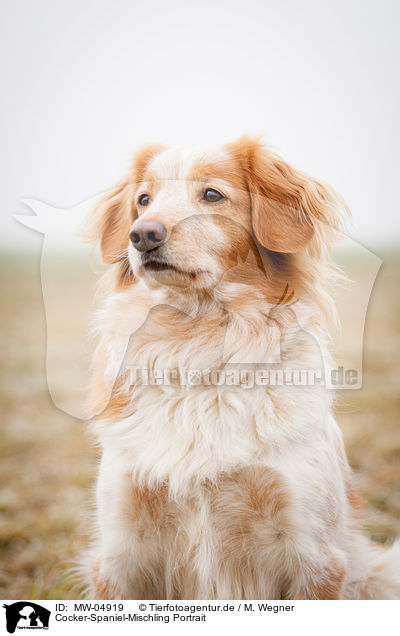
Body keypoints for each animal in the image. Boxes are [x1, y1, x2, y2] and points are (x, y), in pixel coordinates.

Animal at [82, 137, 400, 600]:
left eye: (213, 195)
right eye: (143, 200)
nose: (141, 235)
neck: (200, 345)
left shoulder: (316, 558)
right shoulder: (121, 555)